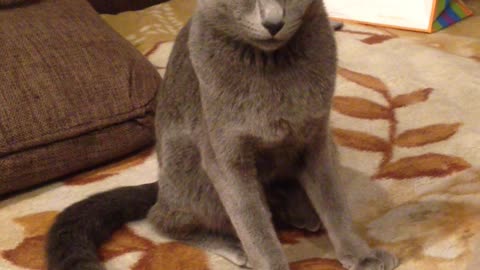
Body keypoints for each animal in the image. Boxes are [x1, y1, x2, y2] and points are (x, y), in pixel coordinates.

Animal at [47, 0, 398, 270]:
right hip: (191, 166)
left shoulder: (316, 139)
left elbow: (335, 204)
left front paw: (361, 256)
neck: (272, 66)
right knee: (162, 218)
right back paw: (236, 245)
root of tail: (161, 184)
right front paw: (267, 259)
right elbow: (253, 223)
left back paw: (302, 214)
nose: (274, 21)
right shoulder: (226, 155)